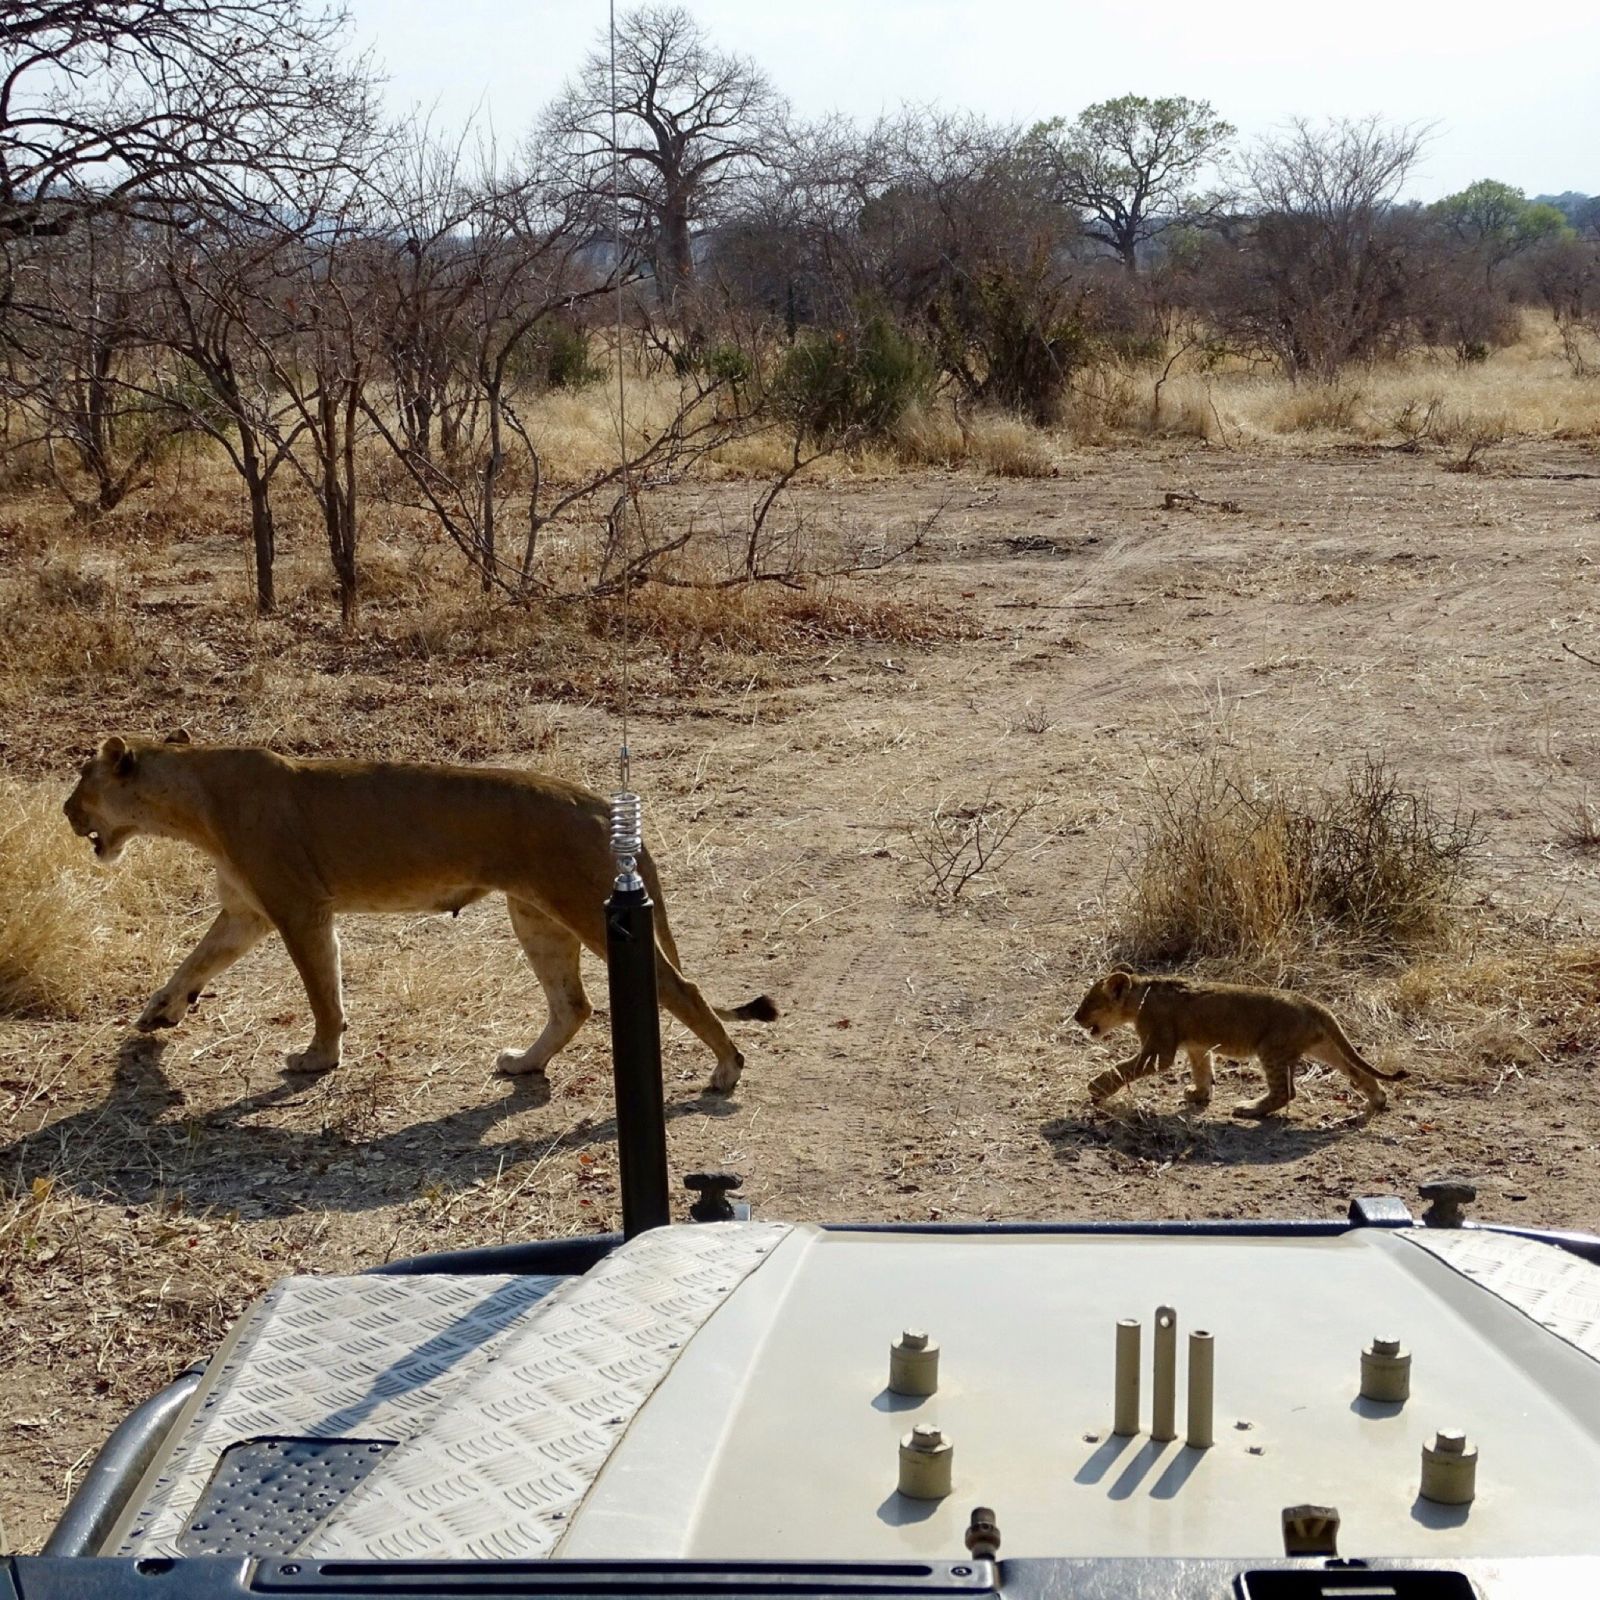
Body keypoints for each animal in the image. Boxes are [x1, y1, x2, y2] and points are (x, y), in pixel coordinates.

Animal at [63, 732, 777, 1090]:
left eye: (79, 781)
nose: (65, 813)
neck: (192, 806)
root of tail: (599, 802)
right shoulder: (248, 912)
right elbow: (195, 961)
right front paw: (160, 1012)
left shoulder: (299, 908)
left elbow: (322, 992)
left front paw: (317, 1058)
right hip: (535, 915)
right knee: (572, 1005)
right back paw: (524, 1064)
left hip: (585, 907)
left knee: (679, 988)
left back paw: (726, 1069)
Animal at [1072, 967, 1404, 1118]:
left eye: (1089, 1002)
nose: (1075, 1017)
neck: (1140, 995)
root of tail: (1313, 1004)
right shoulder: (1198, 1045)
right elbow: (1202, 1070)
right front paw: (1198, 1094)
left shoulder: (1158, 1050)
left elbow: (1123, 1068)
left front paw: (1096, 1088)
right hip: (1323, 1047)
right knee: (1357, 1070)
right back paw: (1377, 1100)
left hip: (1271, 1048)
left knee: (1286, 1092)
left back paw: (1250, 1108)